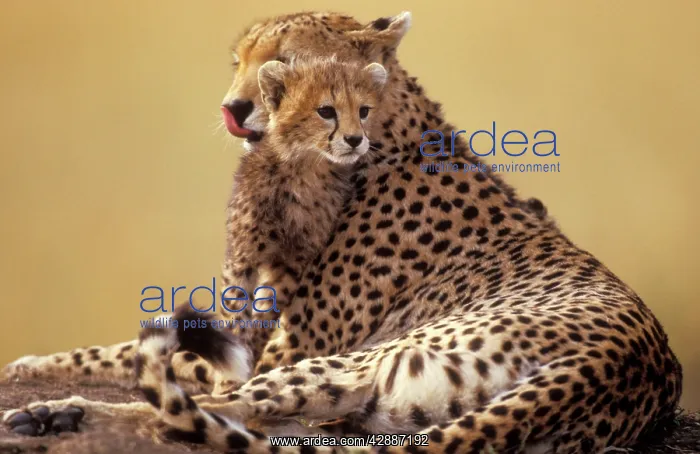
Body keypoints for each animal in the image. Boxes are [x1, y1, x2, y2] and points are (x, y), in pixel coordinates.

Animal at [2, 10, 683, 454]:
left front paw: (33, 374)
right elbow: (119, 347)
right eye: (238, 62)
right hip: (378, 405)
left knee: (191, 416)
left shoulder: (277, 348)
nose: (233, 108)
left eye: (284, 60)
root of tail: (612, 362)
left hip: (357, 364)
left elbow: (148, 354)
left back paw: (57, 413)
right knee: (245, 424)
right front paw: (34, 363)